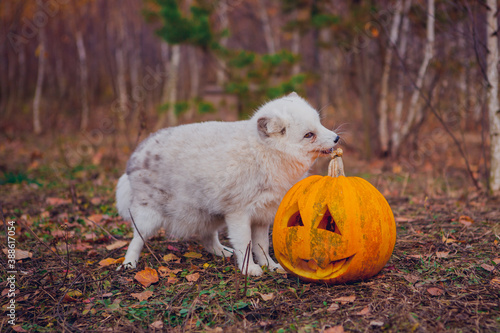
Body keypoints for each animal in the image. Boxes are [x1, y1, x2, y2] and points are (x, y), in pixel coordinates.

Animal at [117, 91, 340, 274]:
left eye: (319, 124)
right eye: (309, 135)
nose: (337, 138)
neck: (262, 154)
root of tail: (137, 152)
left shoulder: (262, 215)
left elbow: (261, 245)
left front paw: (270, 265)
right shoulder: (239, 214)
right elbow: (245, 243)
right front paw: (250, 269)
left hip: (210, 215)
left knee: (208, 239)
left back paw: (223, 252)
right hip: (149, 216)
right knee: (136, 239)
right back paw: (129, 264)